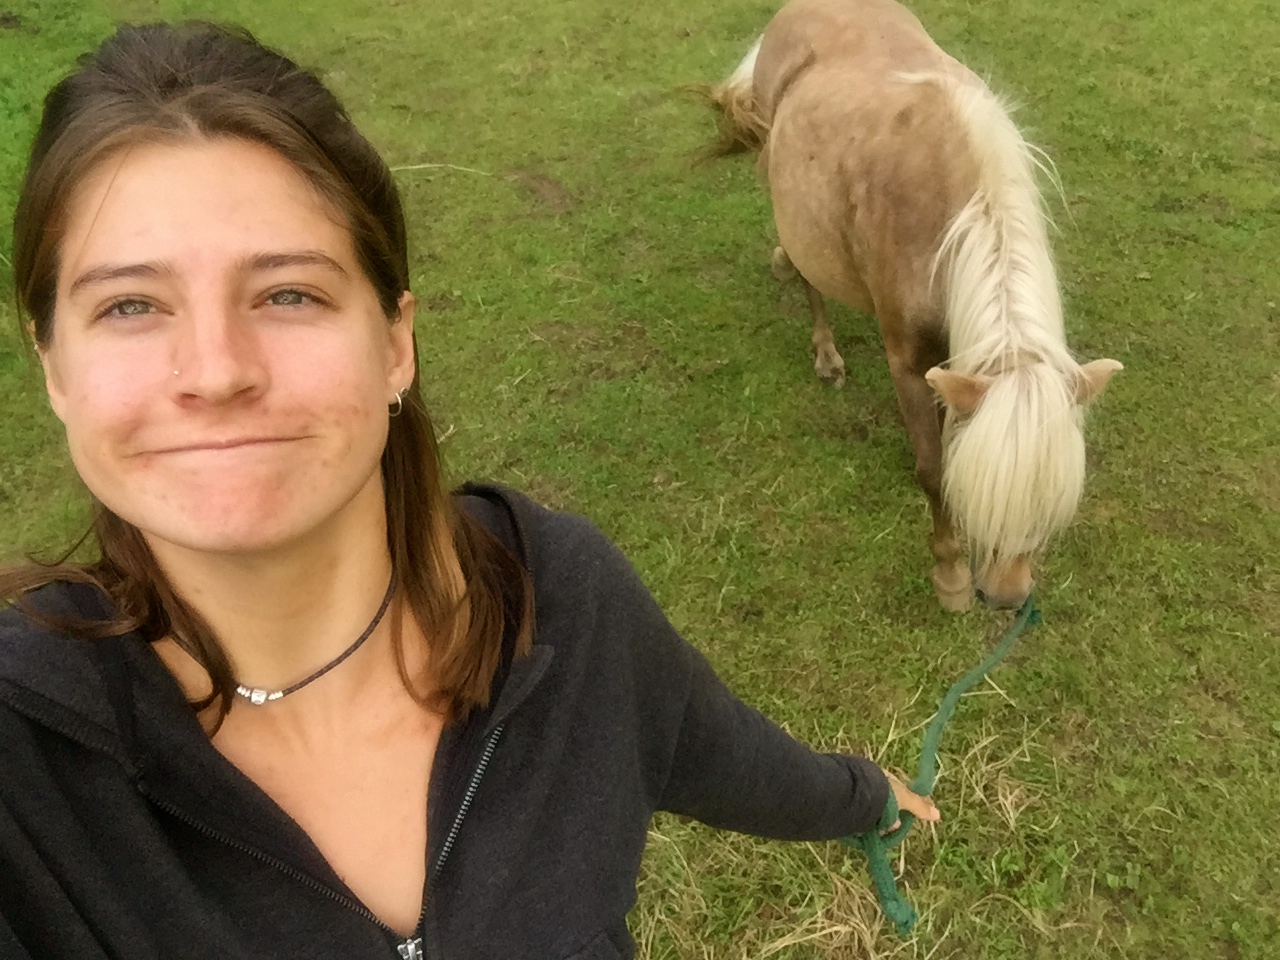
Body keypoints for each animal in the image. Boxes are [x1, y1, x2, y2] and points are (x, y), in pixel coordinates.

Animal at [706, 0, 1121, 610]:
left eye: (1049, 508)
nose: (1006, 597)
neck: (950, 224)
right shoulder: (906, 358)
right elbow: (932, 469)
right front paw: (949, 575)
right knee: (808, 277)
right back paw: (824, 350)